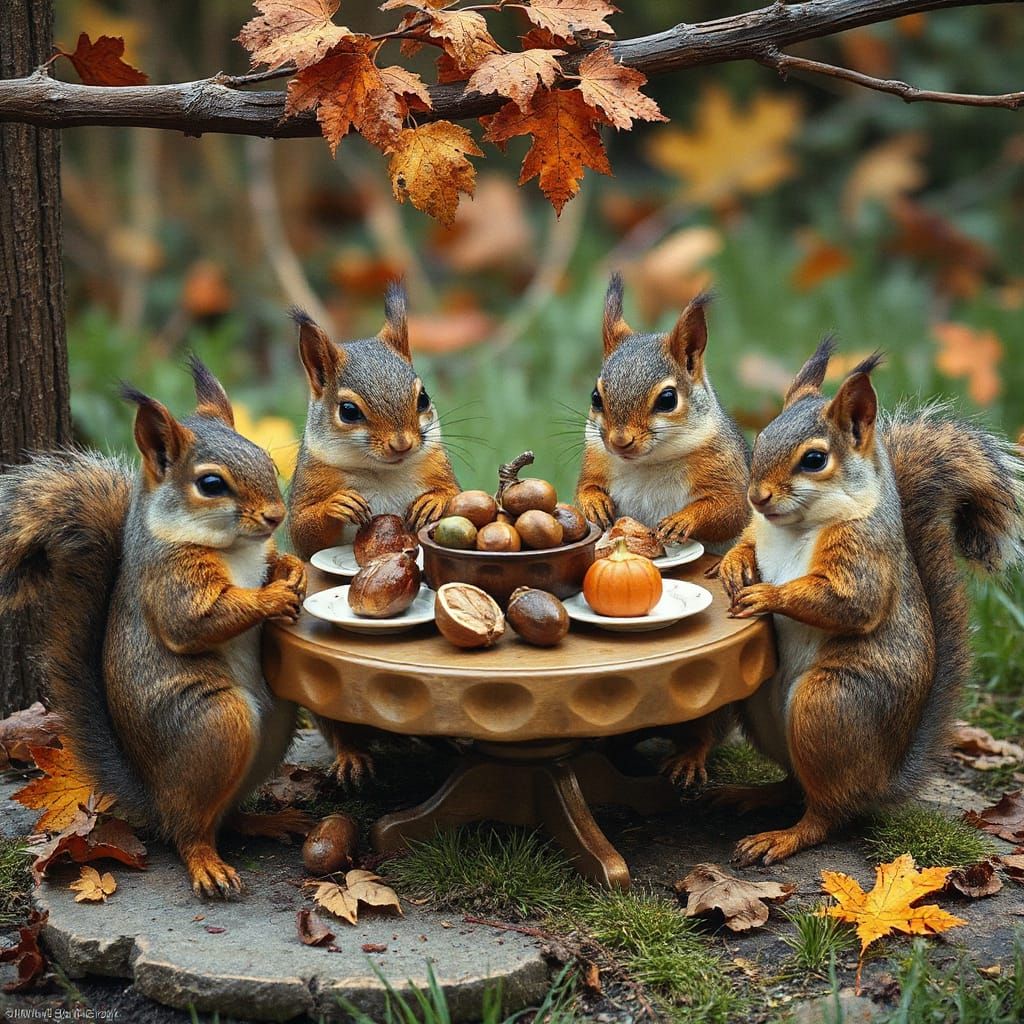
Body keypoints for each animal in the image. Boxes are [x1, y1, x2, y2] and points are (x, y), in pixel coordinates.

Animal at [0, 359, 309, 897]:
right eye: (211, 485)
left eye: (268, 461)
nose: (276, 516)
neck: (236, 548)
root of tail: (154, 798)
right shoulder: (169, 580)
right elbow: (196, 621)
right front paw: (271, 598)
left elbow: (275, 563)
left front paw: (293, 569)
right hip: (213, 724)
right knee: (190, 830)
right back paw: (207, 864)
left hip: (271, 730)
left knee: (223, 817)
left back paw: (266, 822)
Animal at [287, 283, 460, 785]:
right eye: (348, 411)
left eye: (423, 397)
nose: (403, 443)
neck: (382, 471)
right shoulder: (306, 490)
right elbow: (306, 534)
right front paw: (338, 505)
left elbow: (454, 495)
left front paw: (434, 503)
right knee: (341, 728)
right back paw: (352, 757)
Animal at [575, 273, 751, 786]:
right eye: (596, 397)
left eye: (668, 399)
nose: (619, 441)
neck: (649, 462)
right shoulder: (595, 458)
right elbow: (586, 488)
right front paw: (594, 505)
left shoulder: (726, 474)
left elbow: (729, 510)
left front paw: (680, 522)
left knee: (702, 730)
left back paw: (689, 757)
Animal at [717, 338, 1024, 865]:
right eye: (763, 437)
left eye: (814, 460)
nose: (757, 496)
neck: (793, 526)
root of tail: (881, 780)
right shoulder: (757, 529)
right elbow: (746, 543)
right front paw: (733, 566)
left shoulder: (865, 553)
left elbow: (849, 602)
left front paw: (766, 594)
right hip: (762, 708)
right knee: (797, 786)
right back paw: (753, 795)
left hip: (829, 705)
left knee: (827, 812)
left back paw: (782, 837)